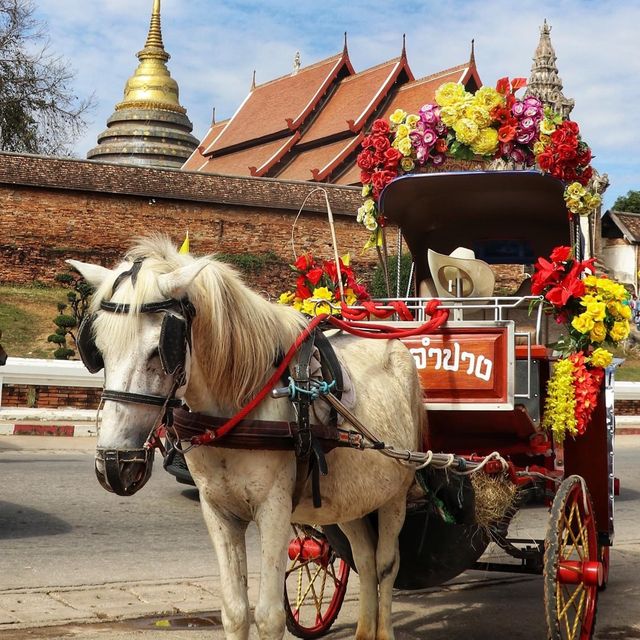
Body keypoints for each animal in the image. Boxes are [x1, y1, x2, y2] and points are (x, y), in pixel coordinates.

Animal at [69, 236, 424, 640]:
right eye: (97, 349)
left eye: (159, 350)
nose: (115, 464)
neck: (237, 406)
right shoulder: (218, 511)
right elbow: (235, 611)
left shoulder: (274, 509)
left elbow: (268, 617)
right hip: (350, 497)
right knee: (363, 557)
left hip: (395, 491)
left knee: (385, 565)